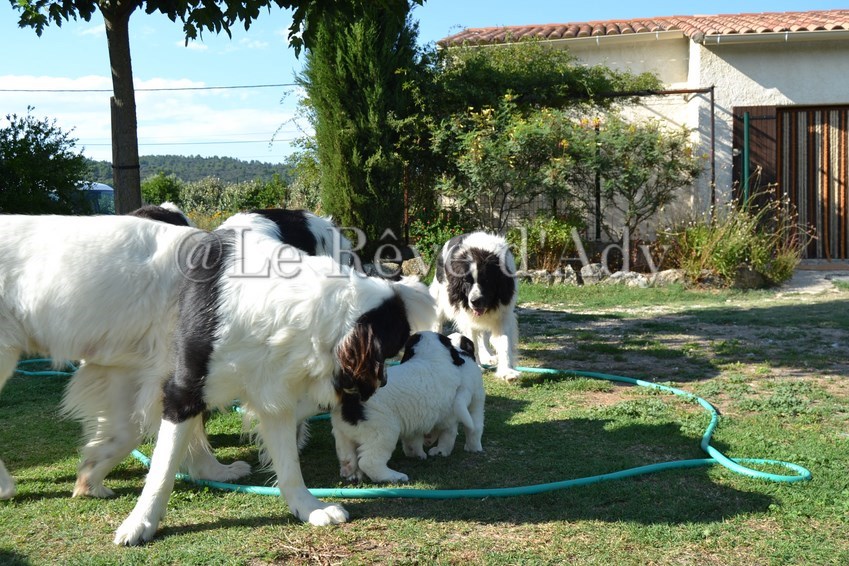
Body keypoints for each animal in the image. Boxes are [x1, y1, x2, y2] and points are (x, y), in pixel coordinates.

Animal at [113, 226, 435, 545]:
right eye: (389, 351)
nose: (384, 381)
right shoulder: (182, 393)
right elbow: (163, 466)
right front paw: (141, 521)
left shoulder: (275, 398)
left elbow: (289, 464)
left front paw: (308, 507)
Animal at [330, 331, 485, 484]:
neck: (429, 357)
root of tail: (350, 398)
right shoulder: (448, 415)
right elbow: (447, 434)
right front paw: (440, 449)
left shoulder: (415, 419)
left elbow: (413, 439)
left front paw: (417, 453)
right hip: (383, 431)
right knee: (370, 461)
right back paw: (395, 476)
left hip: (343, 432)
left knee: (347, 455)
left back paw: (350, 473)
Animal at [430, 232, 520, 381]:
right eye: (466, 282)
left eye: (487, 281)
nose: (475, 301)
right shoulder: (466, 315)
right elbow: (472, 340)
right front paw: (476, 365)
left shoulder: (503, 313)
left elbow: (504, 342)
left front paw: (507, 371)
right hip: (440, 297)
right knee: (437, 322)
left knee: (483, 335)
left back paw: (488, 356)